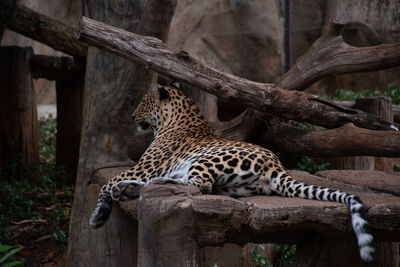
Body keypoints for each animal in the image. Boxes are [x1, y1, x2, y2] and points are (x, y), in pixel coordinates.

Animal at [89, 84, 374, 264]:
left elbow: (107, 183)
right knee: (203, 186)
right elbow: (112, 182)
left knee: (199, 185)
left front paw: (98, 215)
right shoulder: (142, 168)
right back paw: (134, 189)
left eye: (143, 103)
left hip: (207, 159)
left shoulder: (144, 167)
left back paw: (142, 186)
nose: (132, 115)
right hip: (231, 185)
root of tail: (277, 166)